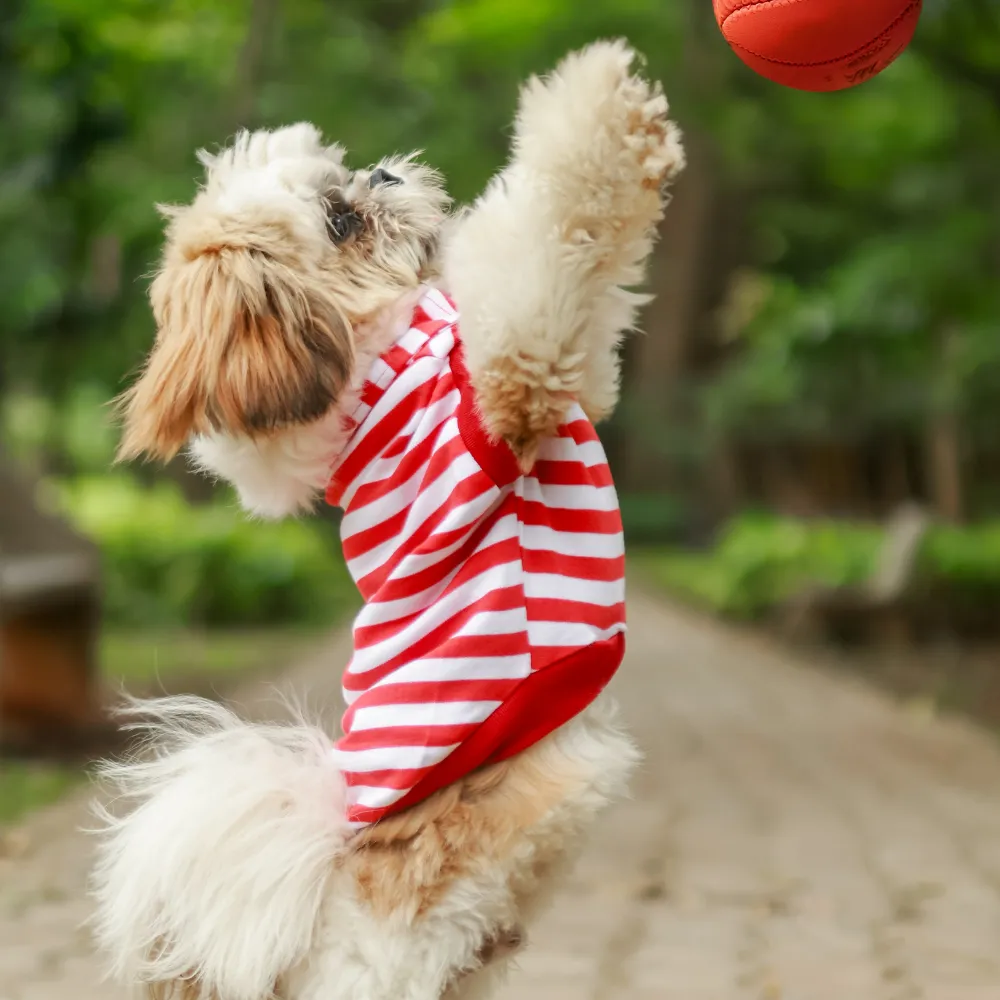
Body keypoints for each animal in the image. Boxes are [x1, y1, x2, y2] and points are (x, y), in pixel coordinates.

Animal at [92, 39, 688, 1000]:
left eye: (343, 177)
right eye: (341, 219)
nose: (380, 173)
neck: (379, 359)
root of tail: (328, 866)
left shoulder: (567, 367)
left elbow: (579, 279)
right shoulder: (511, 382)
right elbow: (547, 230)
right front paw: (601, 98)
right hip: (394, 957)